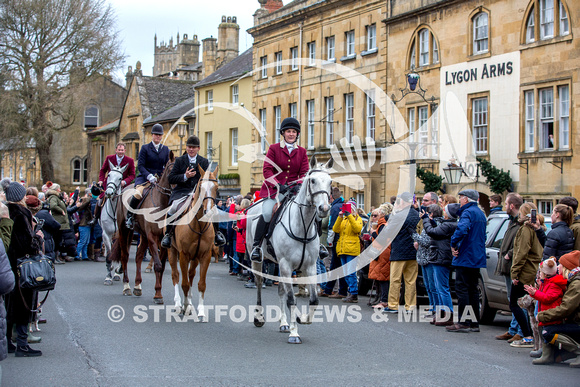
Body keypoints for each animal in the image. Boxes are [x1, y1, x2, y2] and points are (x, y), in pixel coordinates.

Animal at [107, 154, 173, 304]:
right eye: (172, 169)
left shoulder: (163, 239)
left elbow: (161, 266)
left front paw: (158, 293)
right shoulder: (152, 236)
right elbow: (158, 265)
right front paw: (158, 295)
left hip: (142, 235)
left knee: (138, 256)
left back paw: (137, 286)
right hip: (125, 230)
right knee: (124, 256)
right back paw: (126, 286)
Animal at [169, 164, 221, 322]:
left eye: (217, 187)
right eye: (200, 187)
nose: (208, 211)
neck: (198, 224)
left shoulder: (205, 256)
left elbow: (200, 284)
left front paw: (201, 311)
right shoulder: (183, 255)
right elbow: (184, 284)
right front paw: (185, 306)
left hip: (195, 258)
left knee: (191, 275)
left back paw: (189, 303)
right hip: (172, 251)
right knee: (176, 275)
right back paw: (179, 304)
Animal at [246, 156, 336, 344]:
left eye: (330, 182)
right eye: (312, 180)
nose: (324, 209)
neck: (302, 226)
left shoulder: (309, 267)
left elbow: (314, 300)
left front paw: (302, 319)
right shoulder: (286, 265)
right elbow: (291, 300)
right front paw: (295, 333)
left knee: (281, 289)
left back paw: (284, 324)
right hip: (257, 259)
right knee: (259, 283)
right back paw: (259, 317)